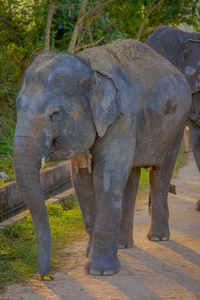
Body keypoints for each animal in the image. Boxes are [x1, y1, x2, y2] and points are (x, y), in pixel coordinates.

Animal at [12, 38, 191, 278]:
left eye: (55, 114)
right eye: (16, 105)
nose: (46, 276)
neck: (88, 63)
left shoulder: (123, 117)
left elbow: (107, 177)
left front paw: (100, 271)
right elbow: (82, 182)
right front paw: (89, 253)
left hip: (176, 129)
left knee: (159, 177)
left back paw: (158, 237)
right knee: (131, 178)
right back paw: (124, 245)